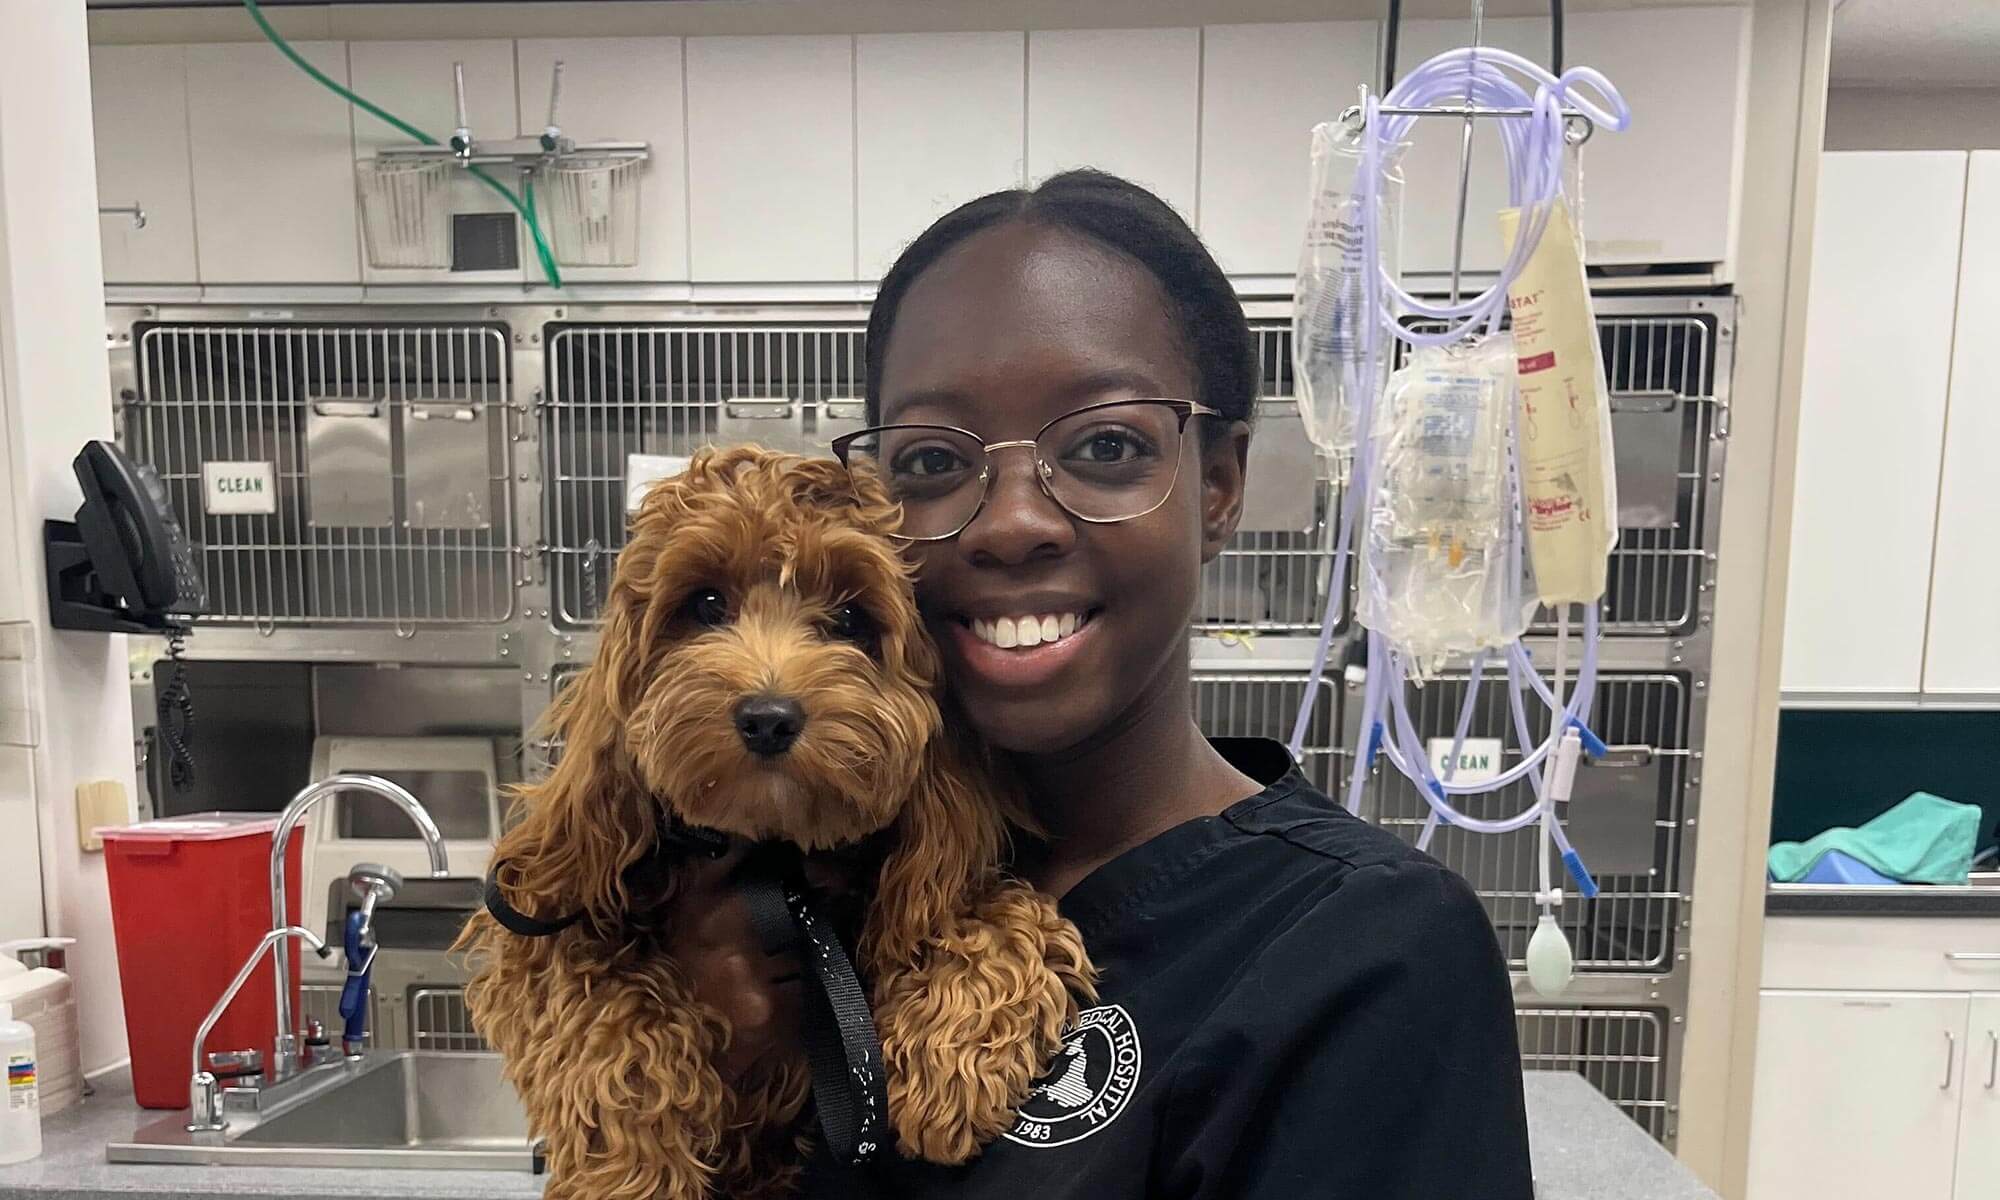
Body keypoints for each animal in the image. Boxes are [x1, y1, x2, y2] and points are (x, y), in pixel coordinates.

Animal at [456, 446, 1096, 1200]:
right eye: (706, 605)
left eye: (850, 618)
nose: (768, 716)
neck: (770, 857)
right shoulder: (547, 913)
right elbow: (605, 1013)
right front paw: (637, 1168)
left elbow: (981, 912)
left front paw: (954, 1064)